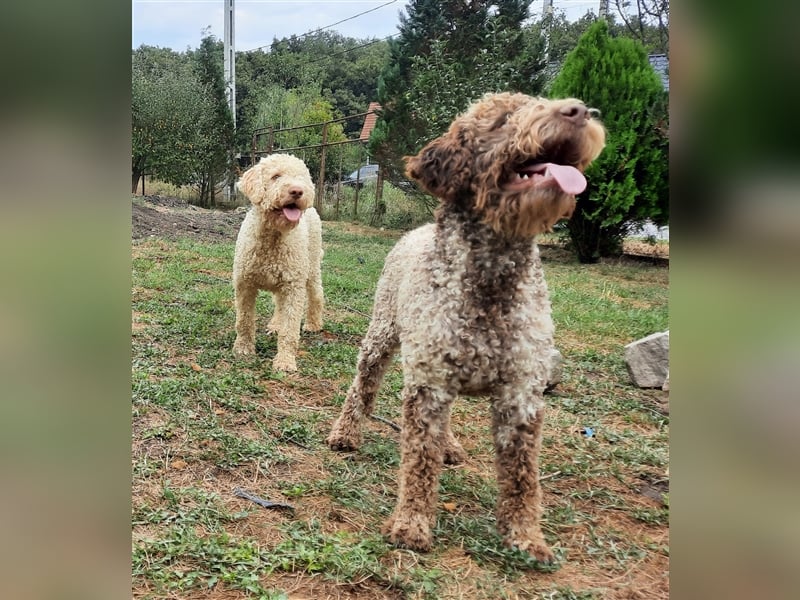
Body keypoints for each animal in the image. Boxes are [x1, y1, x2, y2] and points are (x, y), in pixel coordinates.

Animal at [231, 154, 322, 370]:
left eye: (301, 177)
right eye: (276, 176)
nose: (297, 191)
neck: (273, 237)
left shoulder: (293, 287)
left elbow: (290, 329)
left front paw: (285, 361)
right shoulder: (244, 284)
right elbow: (244, 319)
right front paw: (243, 348)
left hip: (311, 267)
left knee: (316, 294)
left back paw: (313, 324)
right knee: (279, 304)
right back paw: (275, 324)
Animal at [328, 92, 604, 564]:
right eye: (503, 119)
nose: (579, 111)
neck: (491, 280)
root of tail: (414, 229)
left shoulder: (521, 393)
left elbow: (522, 476)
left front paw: (525, 537)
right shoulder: (429, 384)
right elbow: (418, 462)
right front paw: (412, 523)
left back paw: (451, 445)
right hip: (383, 334)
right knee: (363, 383)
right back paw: (345, 432)